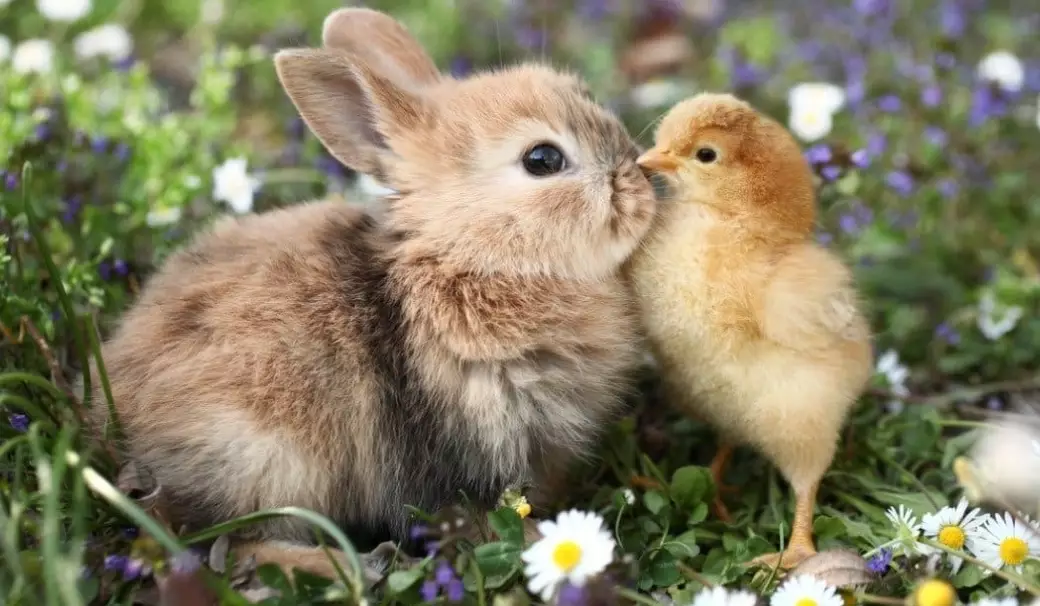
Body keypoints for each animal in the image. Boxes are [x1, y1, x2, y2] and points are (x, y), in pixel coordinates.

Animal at [82, 7, 657, 580]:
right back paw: (354, 563)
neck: (467, 256)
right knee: (235, 545)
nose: (641, 182)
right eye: (542, 159)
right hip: (265, 456)